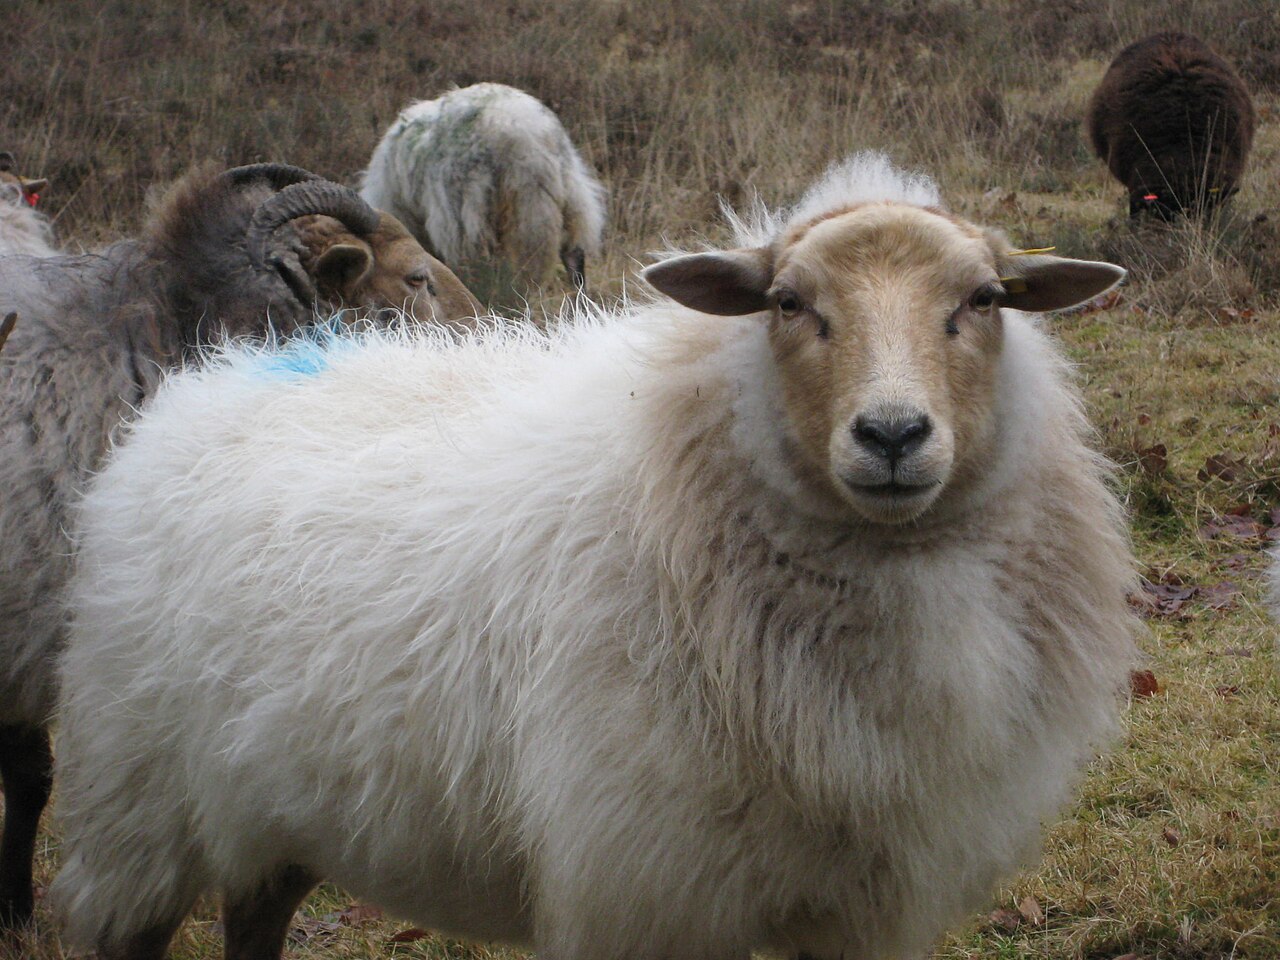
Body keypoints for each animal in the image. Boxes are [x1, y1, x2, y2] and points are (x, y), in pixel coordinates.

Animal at [51, 153, 1137, 960]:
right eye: (788, 302)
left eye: (984, 298)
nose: (893, 434)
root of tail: (216, 377)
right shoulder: (645, 886)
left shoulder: (860, 906)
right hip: (133, 802)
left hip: (270, 802)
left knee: (255, 915)